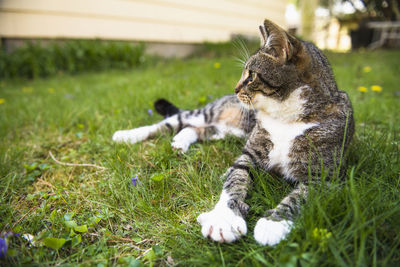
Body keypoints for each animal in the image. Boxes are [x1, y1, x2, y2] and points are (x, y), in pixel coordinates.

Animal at [111, 18, 354, 246]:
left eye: (251, 75)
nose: (235, 89)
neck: (286, 118)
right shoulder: (249, 155)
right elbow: (236, 179)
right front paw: (223, 219)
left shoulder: (328, 175)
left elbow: (300, 197)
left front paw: (273, 223)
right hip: (207, 113)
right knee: (172, 122)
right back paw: (126, 135)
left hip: (228, 130)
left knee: (196, 129)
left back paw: (180, 141)